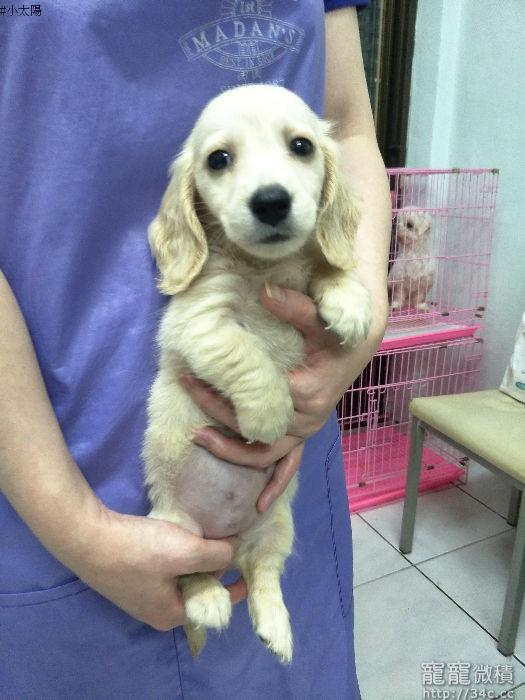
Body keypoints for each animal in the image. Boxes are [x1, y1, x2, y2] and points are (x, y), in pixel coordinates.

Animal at [142, 84, 372, 664]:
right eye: (219, 159)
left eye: (301, 146)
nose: (271, 201)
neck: (268, 268)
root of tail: (226, 540)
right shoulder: (199, 323)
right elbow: (246, 352)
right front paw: (269, 415)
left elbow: (327, 266)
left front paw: (349, 299)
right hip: (173, 534)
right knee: (193, 578)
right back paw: (207, 601)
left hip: (276, 528)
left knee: (262, 573)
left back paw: (276, 627)